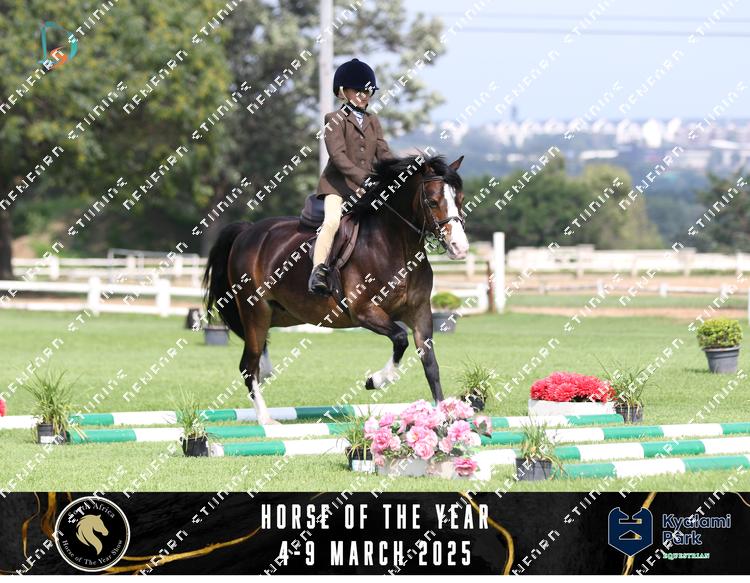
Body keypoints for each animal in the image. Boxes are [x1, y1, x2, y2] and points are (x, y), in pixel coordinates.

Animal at [203, 153, 468, 425]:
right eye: (432, 201)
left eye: (459, 199)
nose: (460, 248)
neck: (396, 248)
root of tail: (247, 230)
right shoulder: (363, 311)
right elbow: (400, 339)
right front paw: (375, 380)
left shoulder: (420, 312)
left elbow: (430, 364)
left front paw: (443, 416)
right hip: (255, 310)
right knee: (248, 364)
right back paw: (266, 420)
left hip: (279, 314)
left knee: (258, 359)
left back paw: (267, 374)